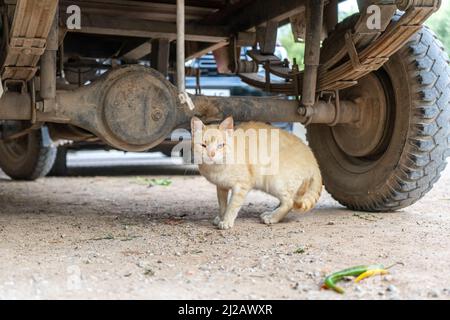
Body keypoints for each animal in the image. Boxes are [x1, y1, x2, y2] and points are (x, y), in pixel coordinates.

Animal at [192, 116, 322, 229]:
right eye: (203, 145)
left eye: (220, 145)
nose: (211, 154)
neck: (216, 168)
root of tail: (313, 158)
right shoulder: (221, 187)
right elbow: (222, 205)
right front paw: (221, 217)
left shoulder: (242, 186)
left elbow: (232, 206)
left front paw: (227, 221)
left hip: (273, 181)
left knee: (289, 202)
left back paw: (272, 217)